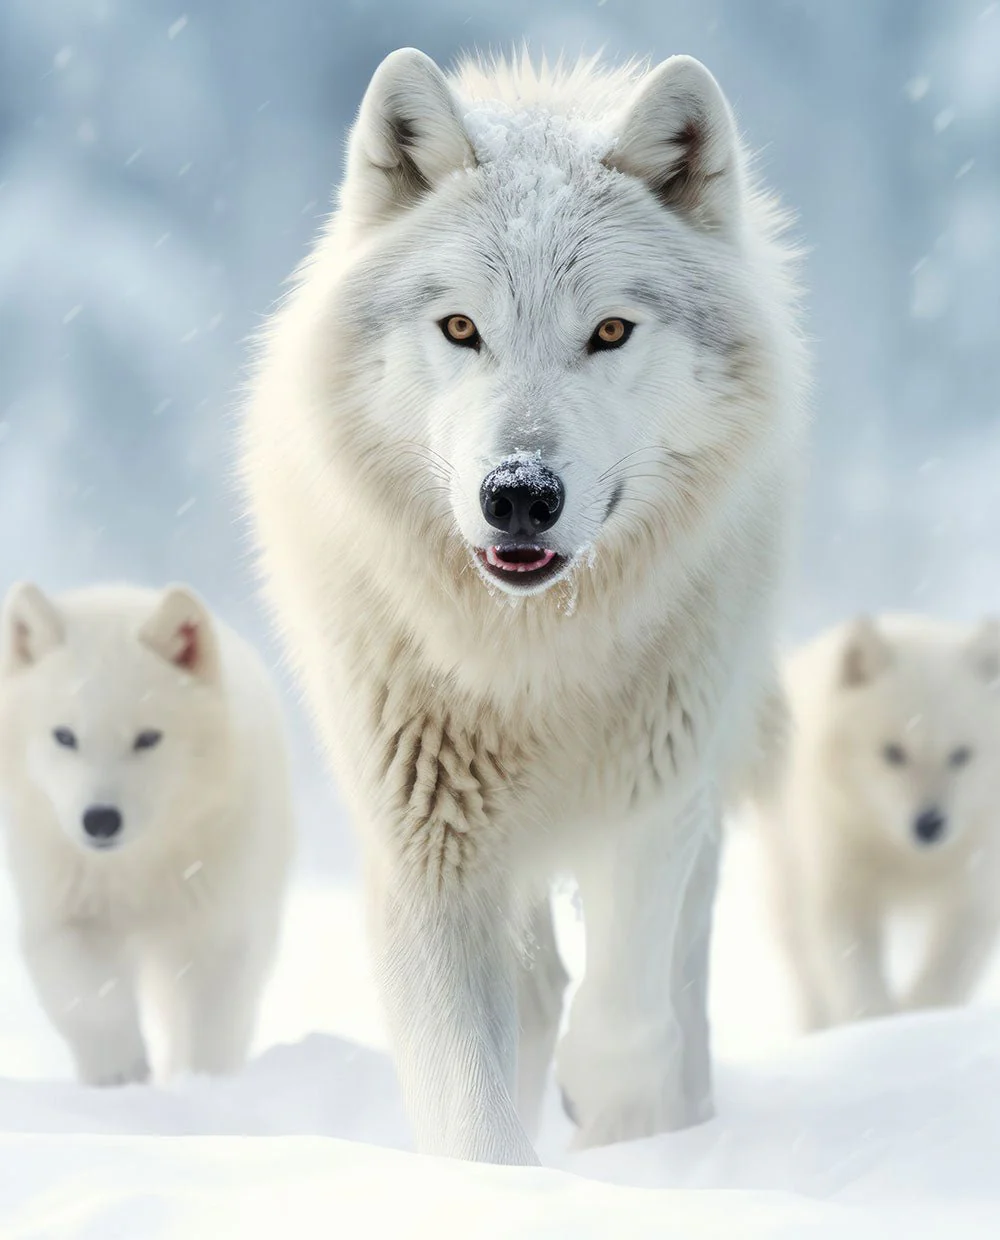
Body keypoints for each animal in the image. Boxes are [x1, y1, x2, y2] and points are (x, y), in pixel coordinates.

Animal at [0, 582, 295, 1085]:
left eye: (147, 738)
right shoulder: (63, 913)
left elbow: (211, 1024)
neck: (134, 872)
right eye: (65, 736)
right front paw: (122, 1076)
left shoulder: (218, 926)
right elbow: (94, 1003)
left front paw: (199, 1083)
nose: (100, 820)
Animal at [241, 47, 806, 1163]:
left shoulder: (655, 799)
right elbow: (472, 1104)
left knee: (668, 977)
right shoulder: (422, 846)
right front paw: (512, 1175)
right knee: (537, 989)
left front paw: (619, 1113)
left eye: (611, 331)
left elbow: (629, 1012)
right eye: (462, 328)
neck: (530, 658)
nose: (518, 493)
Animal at [756, 613, 1000, 1032]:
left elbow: (952, 963)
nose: (929, 824)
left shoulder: (978, 880)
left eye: (960, 754)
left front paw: (919, 1016)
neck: (907, 858)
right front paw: (875, 1023)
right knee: (802, 965)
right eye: (893, 752)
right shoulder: (839, 874)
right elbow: (852, 963)